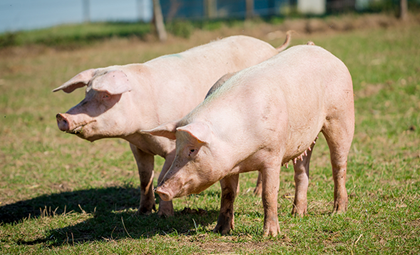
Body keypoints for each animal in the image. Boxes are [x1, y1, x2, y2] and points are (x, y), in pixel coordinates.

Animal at [52, 33, 290, 217]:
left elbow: (160, 177)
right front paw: (143, 212)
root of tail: (271, 46)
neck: (140, 130)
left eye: (105, 95)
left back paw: (256, 193)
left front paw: (165, 215)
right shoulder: (137, 147)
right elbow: (144, 178)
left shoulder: (173, 148)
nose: (62, 116)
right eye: (86, 92)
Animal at [144, 44, 354, 237]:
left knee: (338, 165)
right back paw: (297, 214)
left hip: (341, 115)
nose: (161, 189)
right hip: (305, 138)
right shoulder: (226, 165)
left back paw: (338, 211)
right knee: (302, 171)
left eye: (192, 150)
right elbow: (228, 194)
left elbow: (269, 193)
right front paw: (220, 230)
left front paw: (270, 235)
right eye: (177, 147)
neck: (242, 154)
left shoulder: (273, 153)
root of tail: (321, 50)